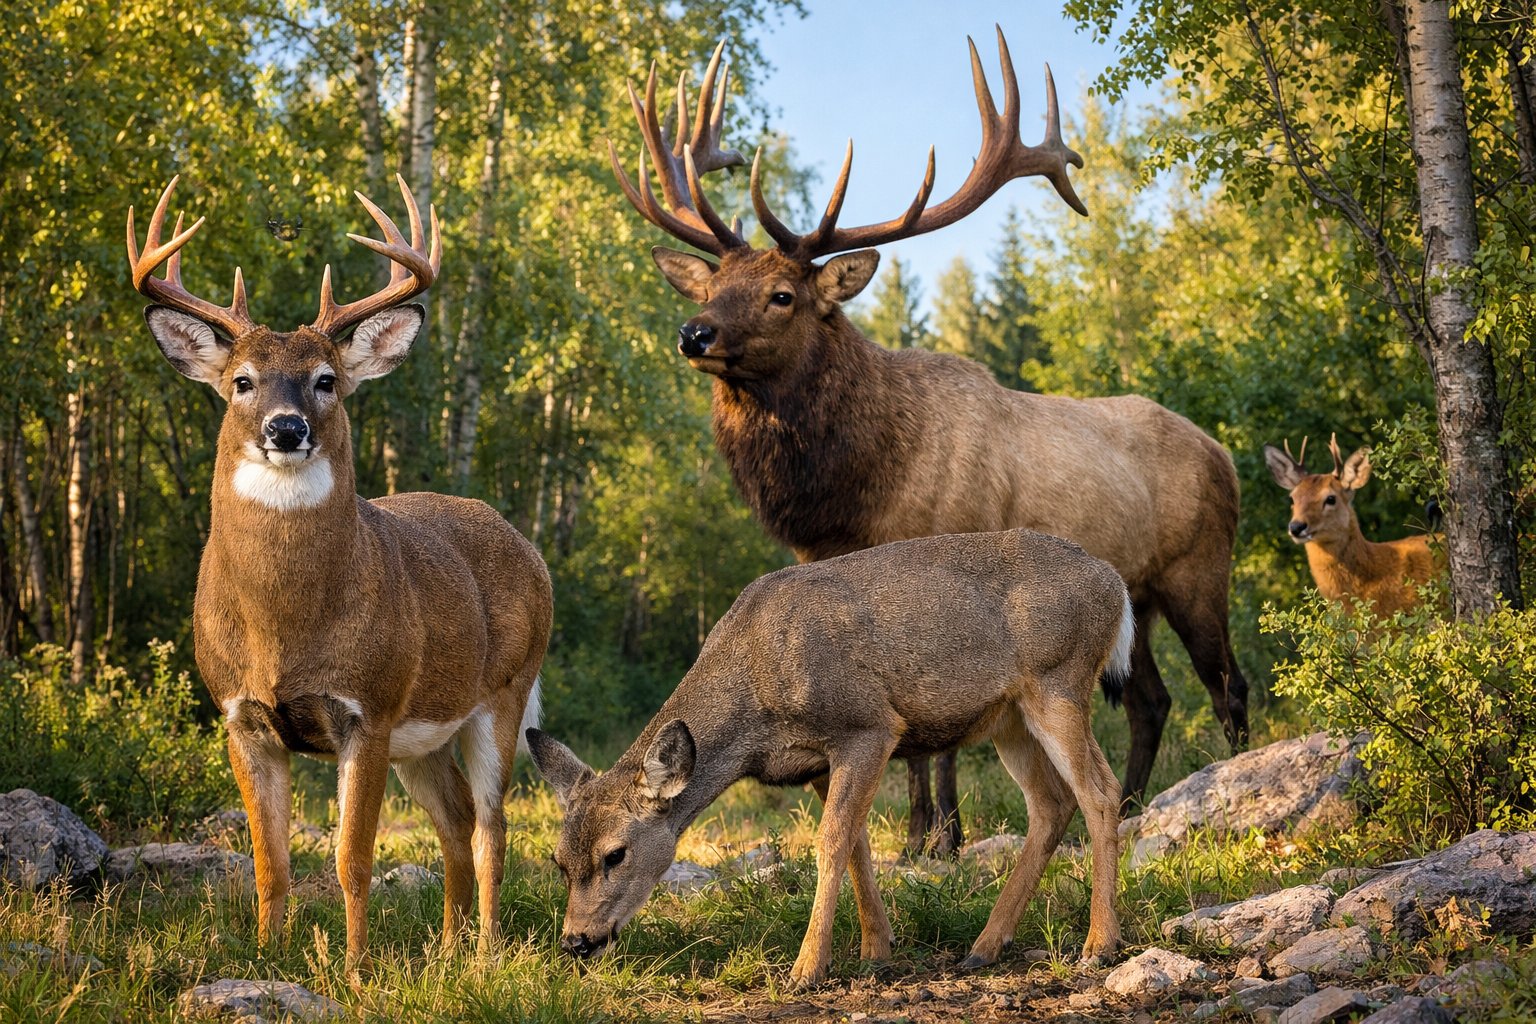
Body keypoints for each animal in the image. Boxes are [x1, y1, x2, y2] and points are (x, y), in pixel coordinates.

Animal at [126, 176, 553, 967]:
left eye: (326, 379)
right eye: (241, 381)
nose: (286, 427)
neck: (285, 630)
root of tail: (524, 543)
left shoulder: (369, 710)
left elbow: (352, 859)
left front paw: (355, 970)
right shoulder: (241, 715)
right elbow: (270, 863)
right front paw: (266, 958)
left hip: (505, 692)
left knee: (490, 823)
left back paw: (484, 951)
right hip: (426, 736)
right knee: (453, 819)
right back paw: (447, 952)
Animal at [527, 528, 1130, 990]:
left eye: (615, 854)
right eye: (559, 861)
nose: (577, 940)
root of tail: (1117, 587)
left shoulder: (866, 724)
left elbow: (831, 841)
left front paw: (807, 968)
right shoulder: (816, 763)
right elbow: (857, 842)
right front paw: (877, 948)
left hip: (1059, 681)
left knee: (1101, 793)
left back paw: (1099, 944)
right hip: (1008, 717)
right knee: (1051, 803)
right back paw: (985, 944)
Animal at [609, 32, 1250, 850]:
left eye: (783, 295)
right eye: (711, 286)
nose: (694, 334)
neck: (856, 497)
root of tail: (1224, 454)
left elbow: (939, 734)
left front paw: (941, 834)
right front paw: (920, 832)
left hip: (1200, 570)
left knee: (1228, 684)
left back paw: (1228, 777)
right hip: (1132, 597)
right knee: (1152, 699)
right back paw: (1136, 803)